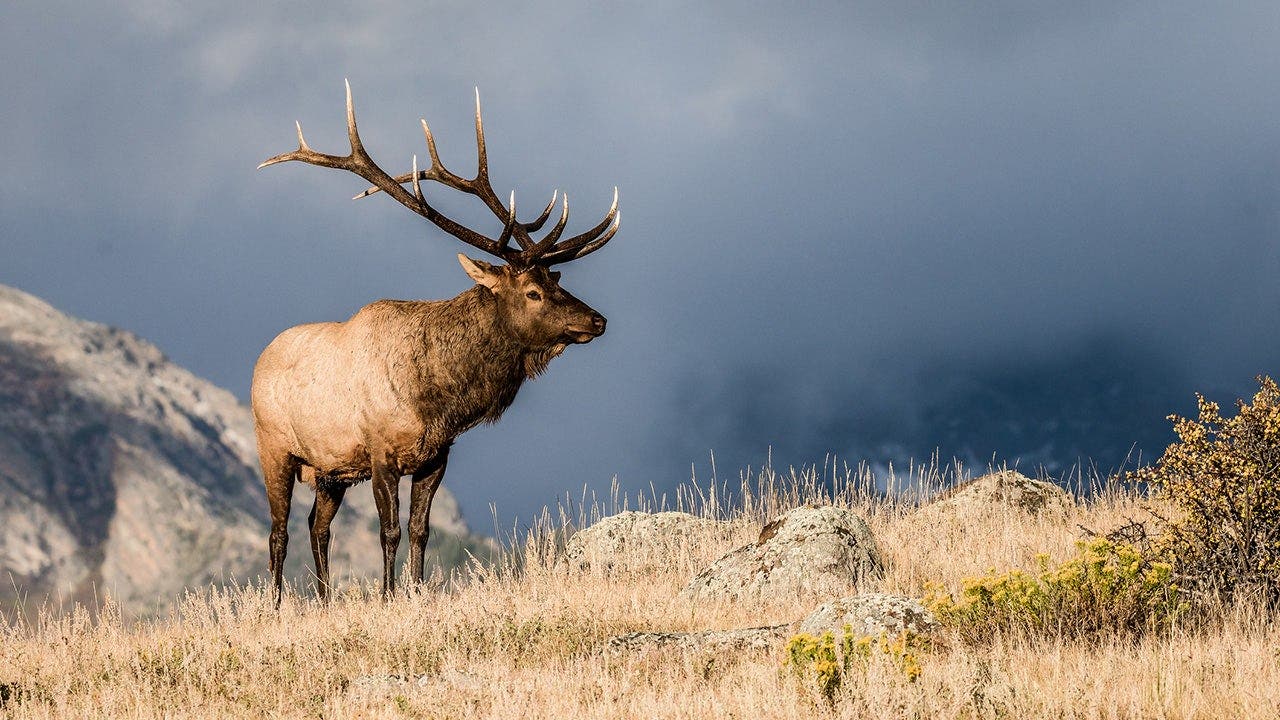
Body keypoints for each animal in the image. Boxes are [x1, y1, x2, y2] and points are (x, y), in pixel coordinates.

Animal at [251, 82, 619, 604]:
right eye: (532, 291)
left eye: (557, 280)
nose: (597, 320)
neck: (439, 398)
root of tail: (260, 358)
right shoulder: (380, 451)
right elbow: (389, 531)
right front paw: (388, 596)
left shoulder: (436, 456)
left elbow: (421, 530)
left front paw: (417, 591)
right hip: (275, 447)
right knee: (278, 531)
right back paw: (280, 605)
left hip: (330, 470)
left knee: (316, 527)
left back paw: (323, 601)